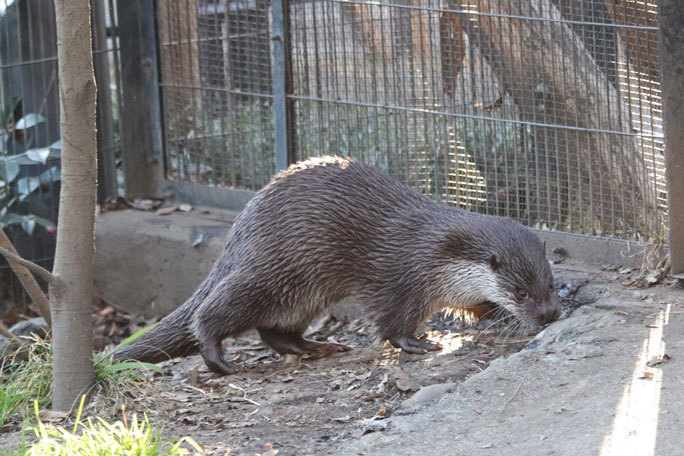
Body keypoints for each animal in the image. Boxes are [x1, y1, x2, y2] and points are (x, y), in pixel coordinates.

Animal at [113, 157, 560, 374]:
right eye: (521, 291)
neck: (437, 253)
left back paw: (318, 347)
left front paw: (490, 316)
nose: (551, 315)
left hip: (304, 294)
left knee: (275, 332)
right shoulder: (399, 276)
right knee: (212, 313)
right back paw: (220, 361)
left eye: (551, 284)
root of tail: (239, 230)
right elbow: (391, 322)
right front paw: (419, 342)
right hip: (273, 270)